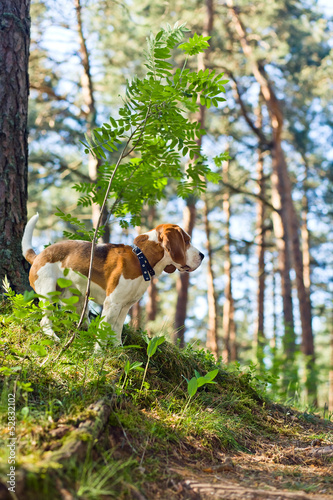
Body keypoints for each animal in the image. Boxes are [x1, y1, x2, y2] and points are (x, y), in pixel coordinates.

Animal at [21, 213, 202, 346]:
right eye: (187, 241)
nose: (202, 255)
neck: (141, 259)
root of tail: (38, 256)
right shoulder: (112, 303)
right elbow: (104, 333)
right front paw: (99, 355)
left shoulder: (125, 306)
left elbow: (116, 332)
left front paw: (117, 351)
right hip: (48, 293)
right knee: (44, 321)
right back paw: (53, 337)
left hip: (77, 301)